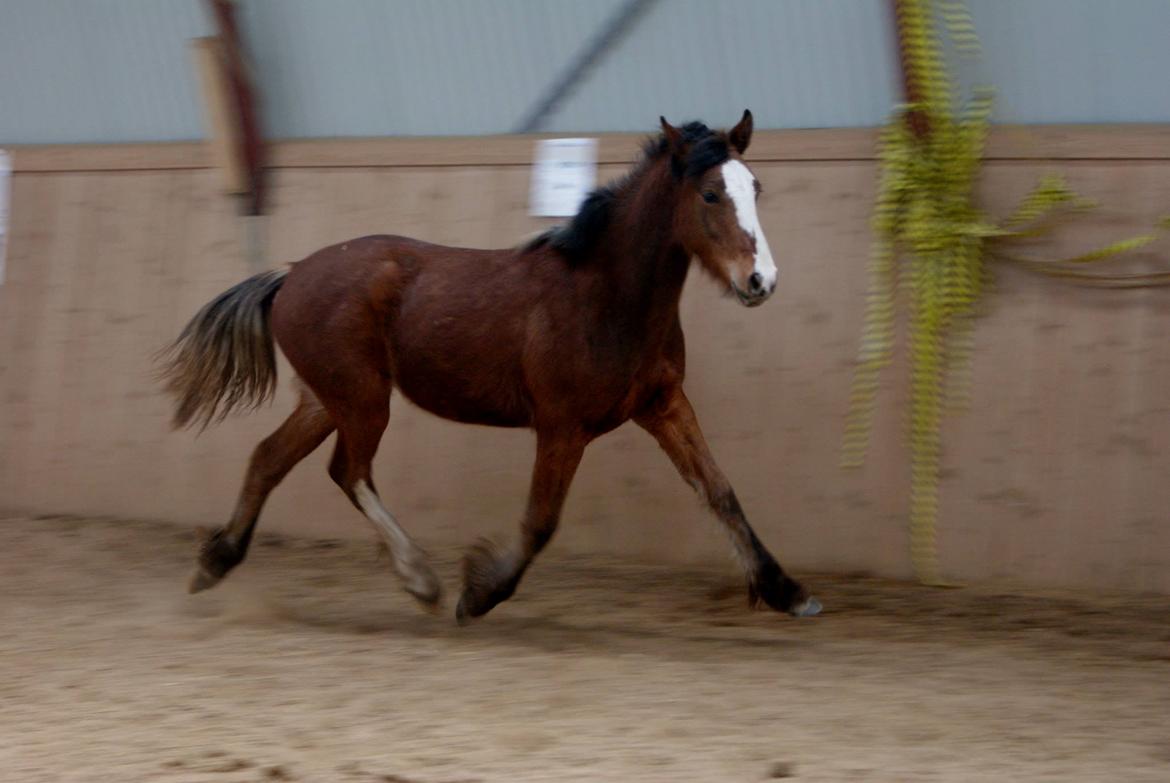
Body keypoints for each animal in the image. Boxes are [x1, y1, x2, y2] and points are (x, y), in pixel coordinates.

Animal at [160, 110, 823, 622]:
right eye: (710, 193)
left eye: (755, 188)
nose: (760, 281)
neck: (607, 297)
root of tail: (289, 275)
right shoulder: (561, 426)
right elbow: (541, 521)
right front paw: (477, 594)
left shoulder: (662, 406)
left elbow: (720, 491)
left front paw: (789, 592)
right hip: (363, 400)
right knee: (349, 472)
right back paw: (422, 581)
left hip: (327, 400)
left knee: (269, 459)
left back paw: (215, 563)